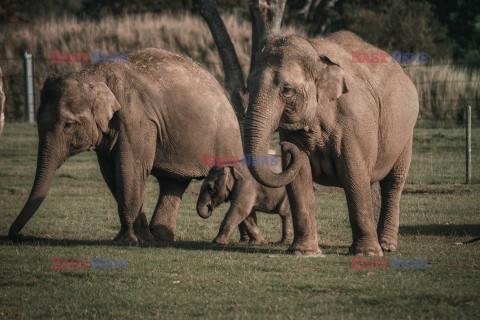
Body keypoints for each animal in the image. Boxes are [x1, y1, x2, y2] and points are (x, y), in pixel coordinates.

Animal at [10, 47, 244, 242]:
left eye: (68, 125)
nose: (16, 236)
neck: (92, 75)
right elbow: (111, 172)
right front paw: (140, 239)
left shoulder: (136, 120)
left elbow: (131, 168)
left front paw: (129, 241)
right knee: (173, 183)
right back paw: (160, 239)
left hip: (227, 141)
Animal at [242, 30, 418, 255]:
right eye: (248, 85)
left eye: (287, 90)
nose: (283, 147)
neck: (316, 54)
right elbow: (300, 173)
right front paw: (304, 252)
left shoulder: (353, 121)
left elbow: (353, 171)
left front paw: (367, 253)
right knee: (370, 180)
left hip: (406, 131)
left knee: (393, 181)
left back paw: (386, 247)